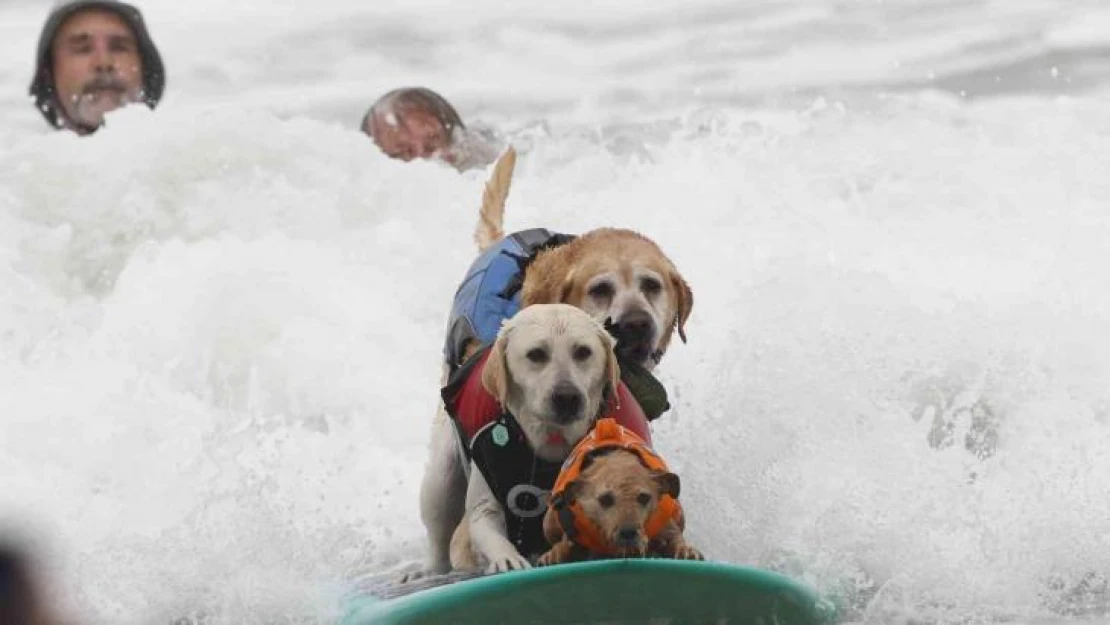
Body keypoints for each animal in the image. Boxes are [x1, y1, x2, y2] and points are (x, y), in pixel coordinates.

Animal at [537, 417, 701, 563]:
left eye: (644, 497)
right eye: (605, 499)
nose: (628, 533)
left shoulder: (665, 524)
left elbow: (675, 538)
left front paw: (685, 550)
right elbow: (565, 546)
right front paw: (554, 555)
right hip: (549, 521)